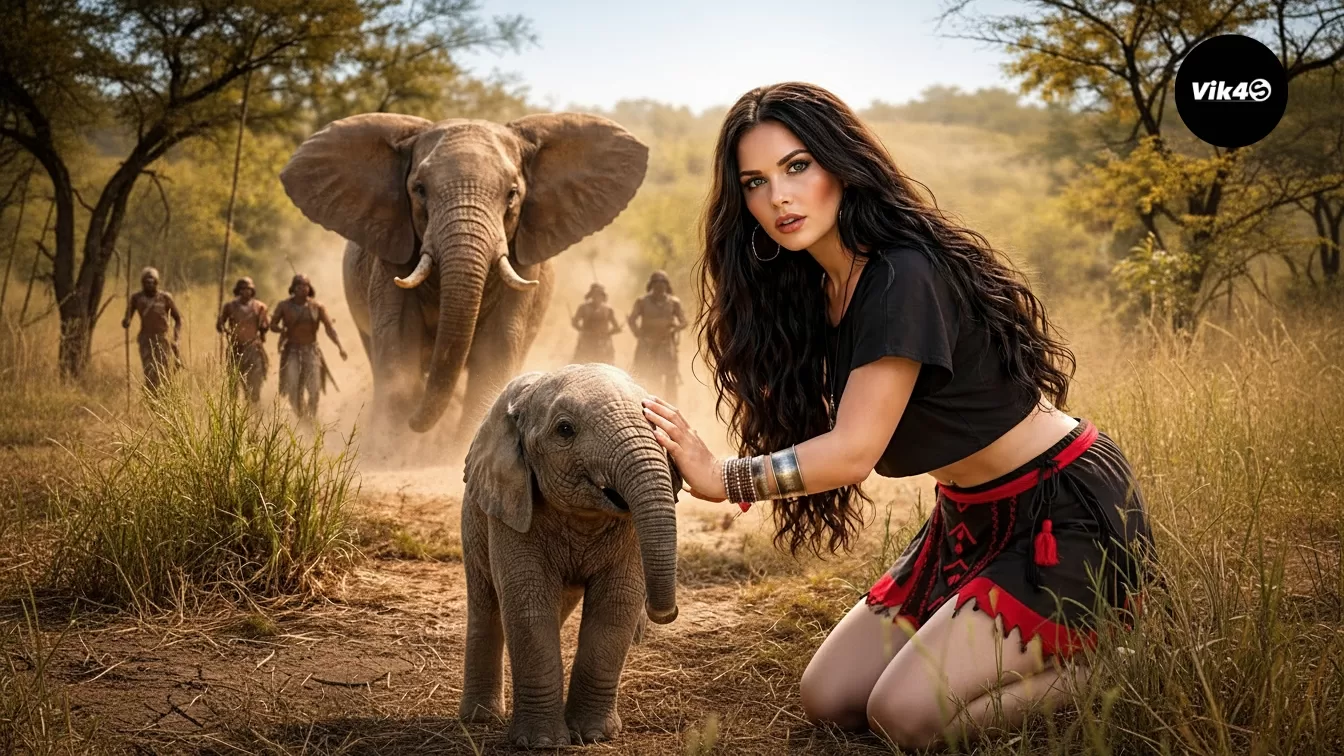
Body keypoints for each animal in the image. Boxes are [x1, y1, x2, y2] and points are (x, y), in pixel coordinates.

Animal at [278, 112, 649, 439]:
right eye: (419, 190)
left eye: (512, 194)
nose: (416, 423)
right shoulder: (390, 255)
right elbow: (400, 339)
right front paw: (391, 450)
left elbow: (496, 347)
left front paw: (453, 448)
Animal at [459, 364, 681, 747]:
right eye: (565, 430)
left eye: (654, 421)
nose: (663, 613)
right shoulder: (511, 505)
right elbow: (528, 603)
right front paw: (541, 742)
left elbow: (616, 604)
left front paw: (593, 735)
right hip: (475, 516)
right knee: (487, 606)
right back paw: (479, 717)